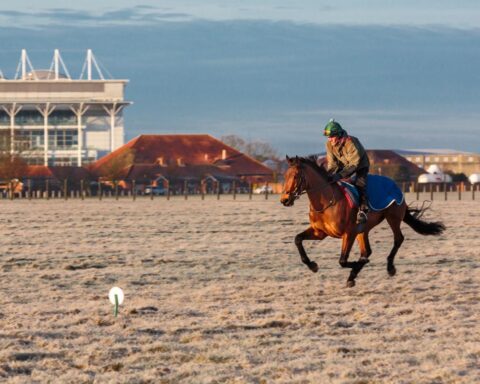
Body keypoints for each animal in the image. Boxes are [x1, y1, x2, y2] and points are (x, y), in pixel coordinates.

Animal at [280, 154, 444, 286]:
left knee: (398, 239)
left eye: (295, 176)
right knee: (367, 251)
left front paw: (356, 267)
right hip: (364, 229)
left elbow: (343, 261)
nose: (284, 200)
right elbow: (297, 239)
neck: (326, 202)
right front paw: (312, 265)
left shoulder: (349, 233)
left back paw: (389, 268)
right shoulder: (320, 232)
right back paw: (354, 274)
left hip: (393, 217)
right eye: (285, 176)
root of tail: (394, 184)